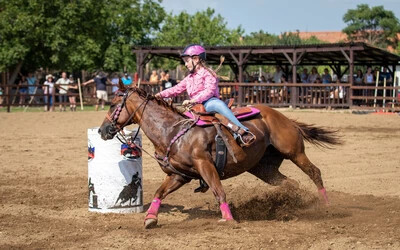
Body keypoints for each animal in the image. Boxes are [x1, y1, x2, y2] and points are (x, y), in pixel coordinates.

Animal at [98, 83, 340, 228]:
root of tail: (284, 117)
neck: (172, 131)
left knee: (314, 173)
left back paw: (327, 205)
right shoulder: (179, 175)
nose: (102, 131)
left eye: (113, 104)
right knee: (289, 183)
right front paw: (150, 218)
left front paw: (229, 219)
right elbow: (159, 192)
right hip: (263, 168)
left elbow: (218, 191)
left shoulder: (205, 165)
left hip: (294, 152)